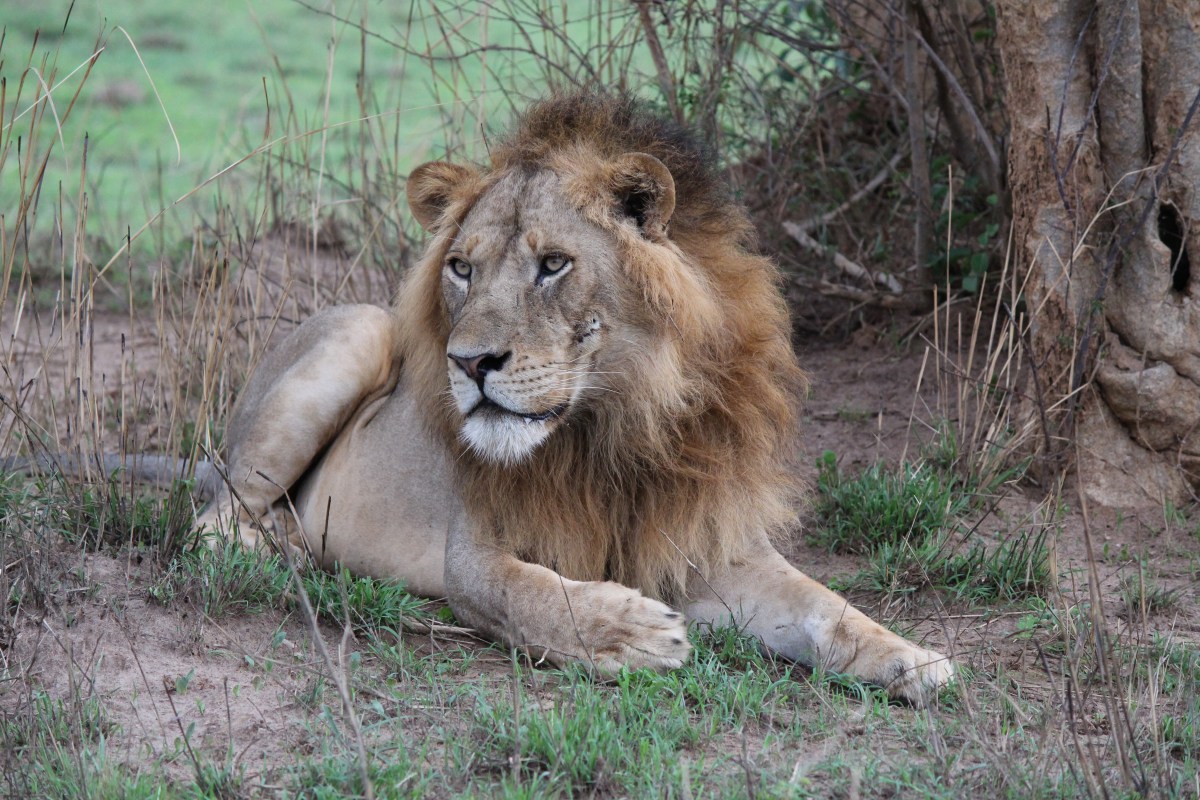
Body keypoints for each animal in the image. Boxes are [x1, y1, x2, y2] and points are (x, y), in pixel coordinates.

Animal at [200, 92, 954, 705]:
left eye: (554, 264)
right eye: (462, 268)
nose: (468, 362)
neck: (613, 426)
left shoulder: (703, 543)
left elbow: (822, 603)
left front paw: (912, 661)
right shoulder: (471, 557)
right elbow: (532, 595)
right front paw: (633, 632)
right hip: (360, 329)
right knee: (216, 519)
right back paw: (291, 548)